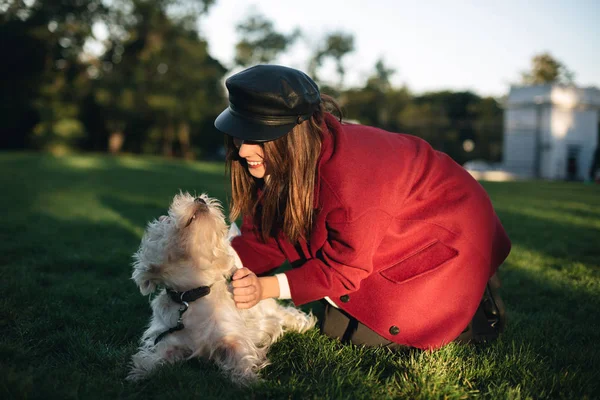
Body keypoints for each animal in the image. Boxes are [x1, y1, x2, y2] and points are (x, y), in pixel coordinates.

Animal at [129, 193, 316, 384]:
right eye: (166, 220)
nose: (199, 199)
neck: (196, 293)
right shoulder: (170, 340)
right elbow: (155, 358)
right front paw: (140, 372)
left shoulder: (233, 335)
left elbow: (240, 355)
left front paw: (248, 380)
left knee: (284, 313)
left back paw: (302, 323)